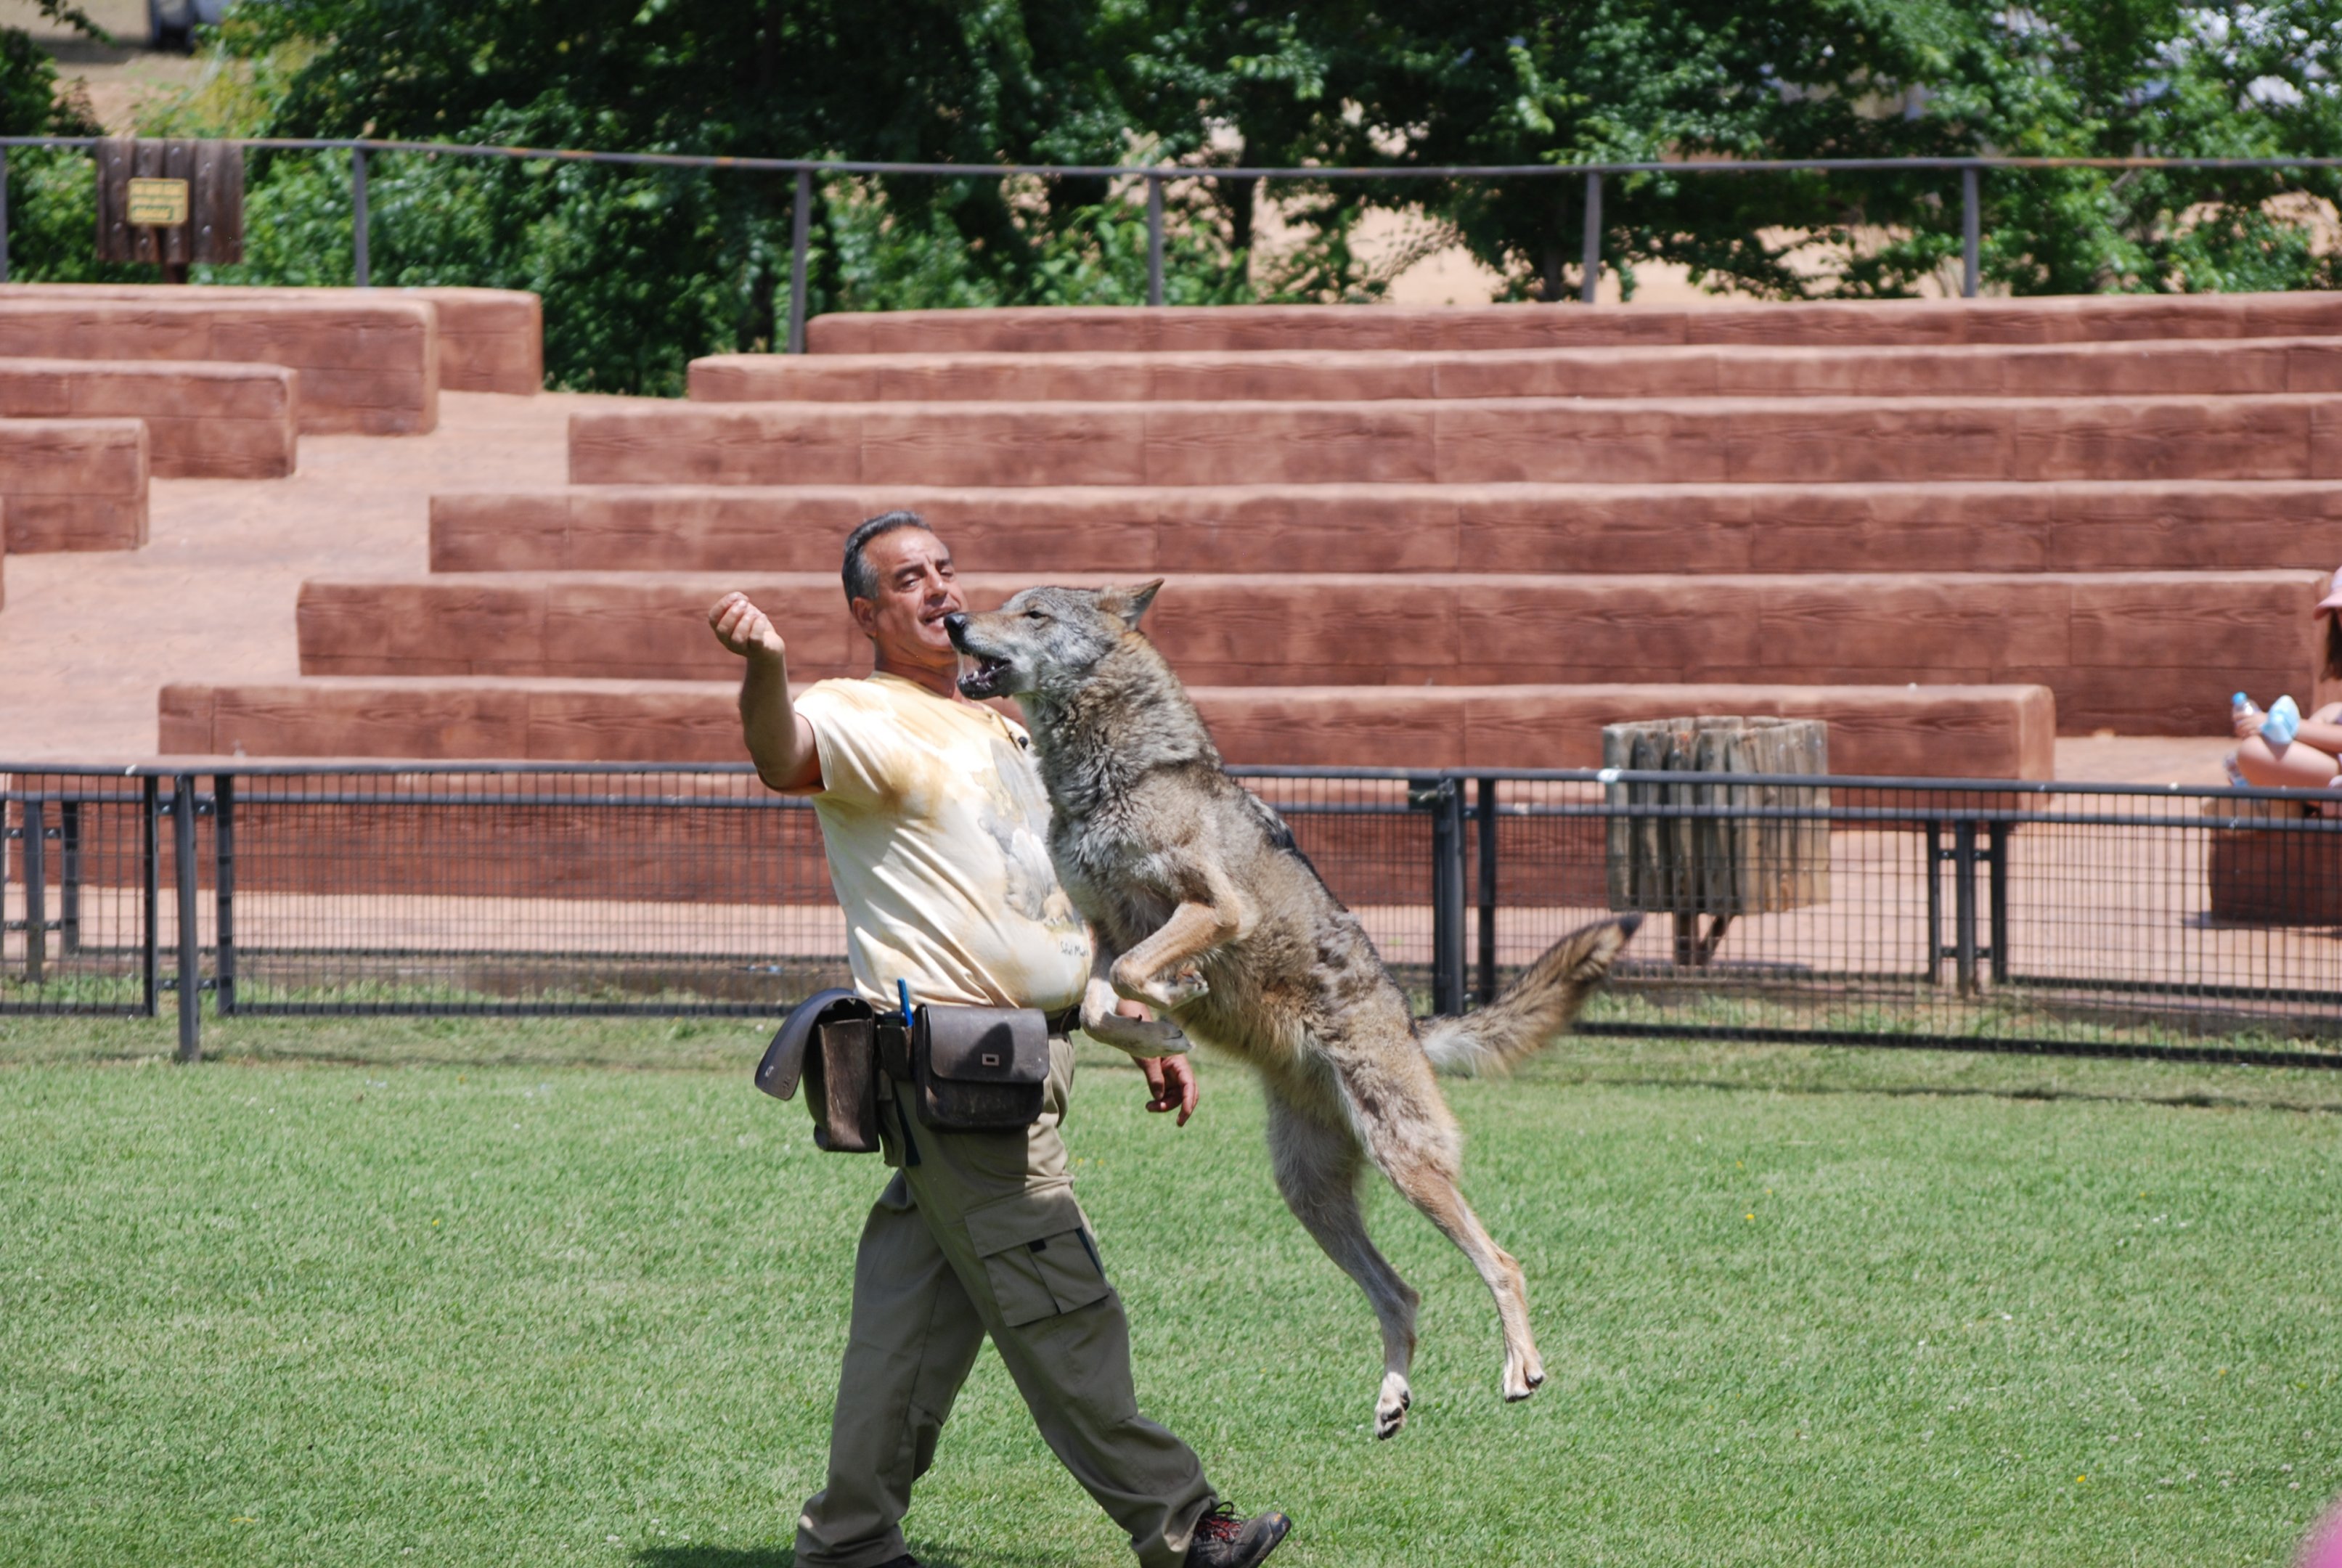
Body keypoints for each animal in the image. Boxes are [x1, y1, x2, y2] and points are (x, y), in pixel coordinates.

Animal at [946, 581, 1639, 1439]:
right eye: (1006, 604)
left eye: (1034, 613)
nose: (952, 621)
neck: (1113, 776)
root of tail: (1411, 1025)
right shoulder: (1105, 931)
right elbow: (1112, 1007)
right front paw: (1167, 1021)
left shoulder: (1213, 908)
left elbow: (1144, 974)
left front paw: (1180, 997)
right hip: (1311, 1197)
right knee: (1403, 1294)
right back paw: (1392, 1400)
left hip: (1406, 1166)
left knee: (1503, 1264)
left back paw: (1521, 1369)